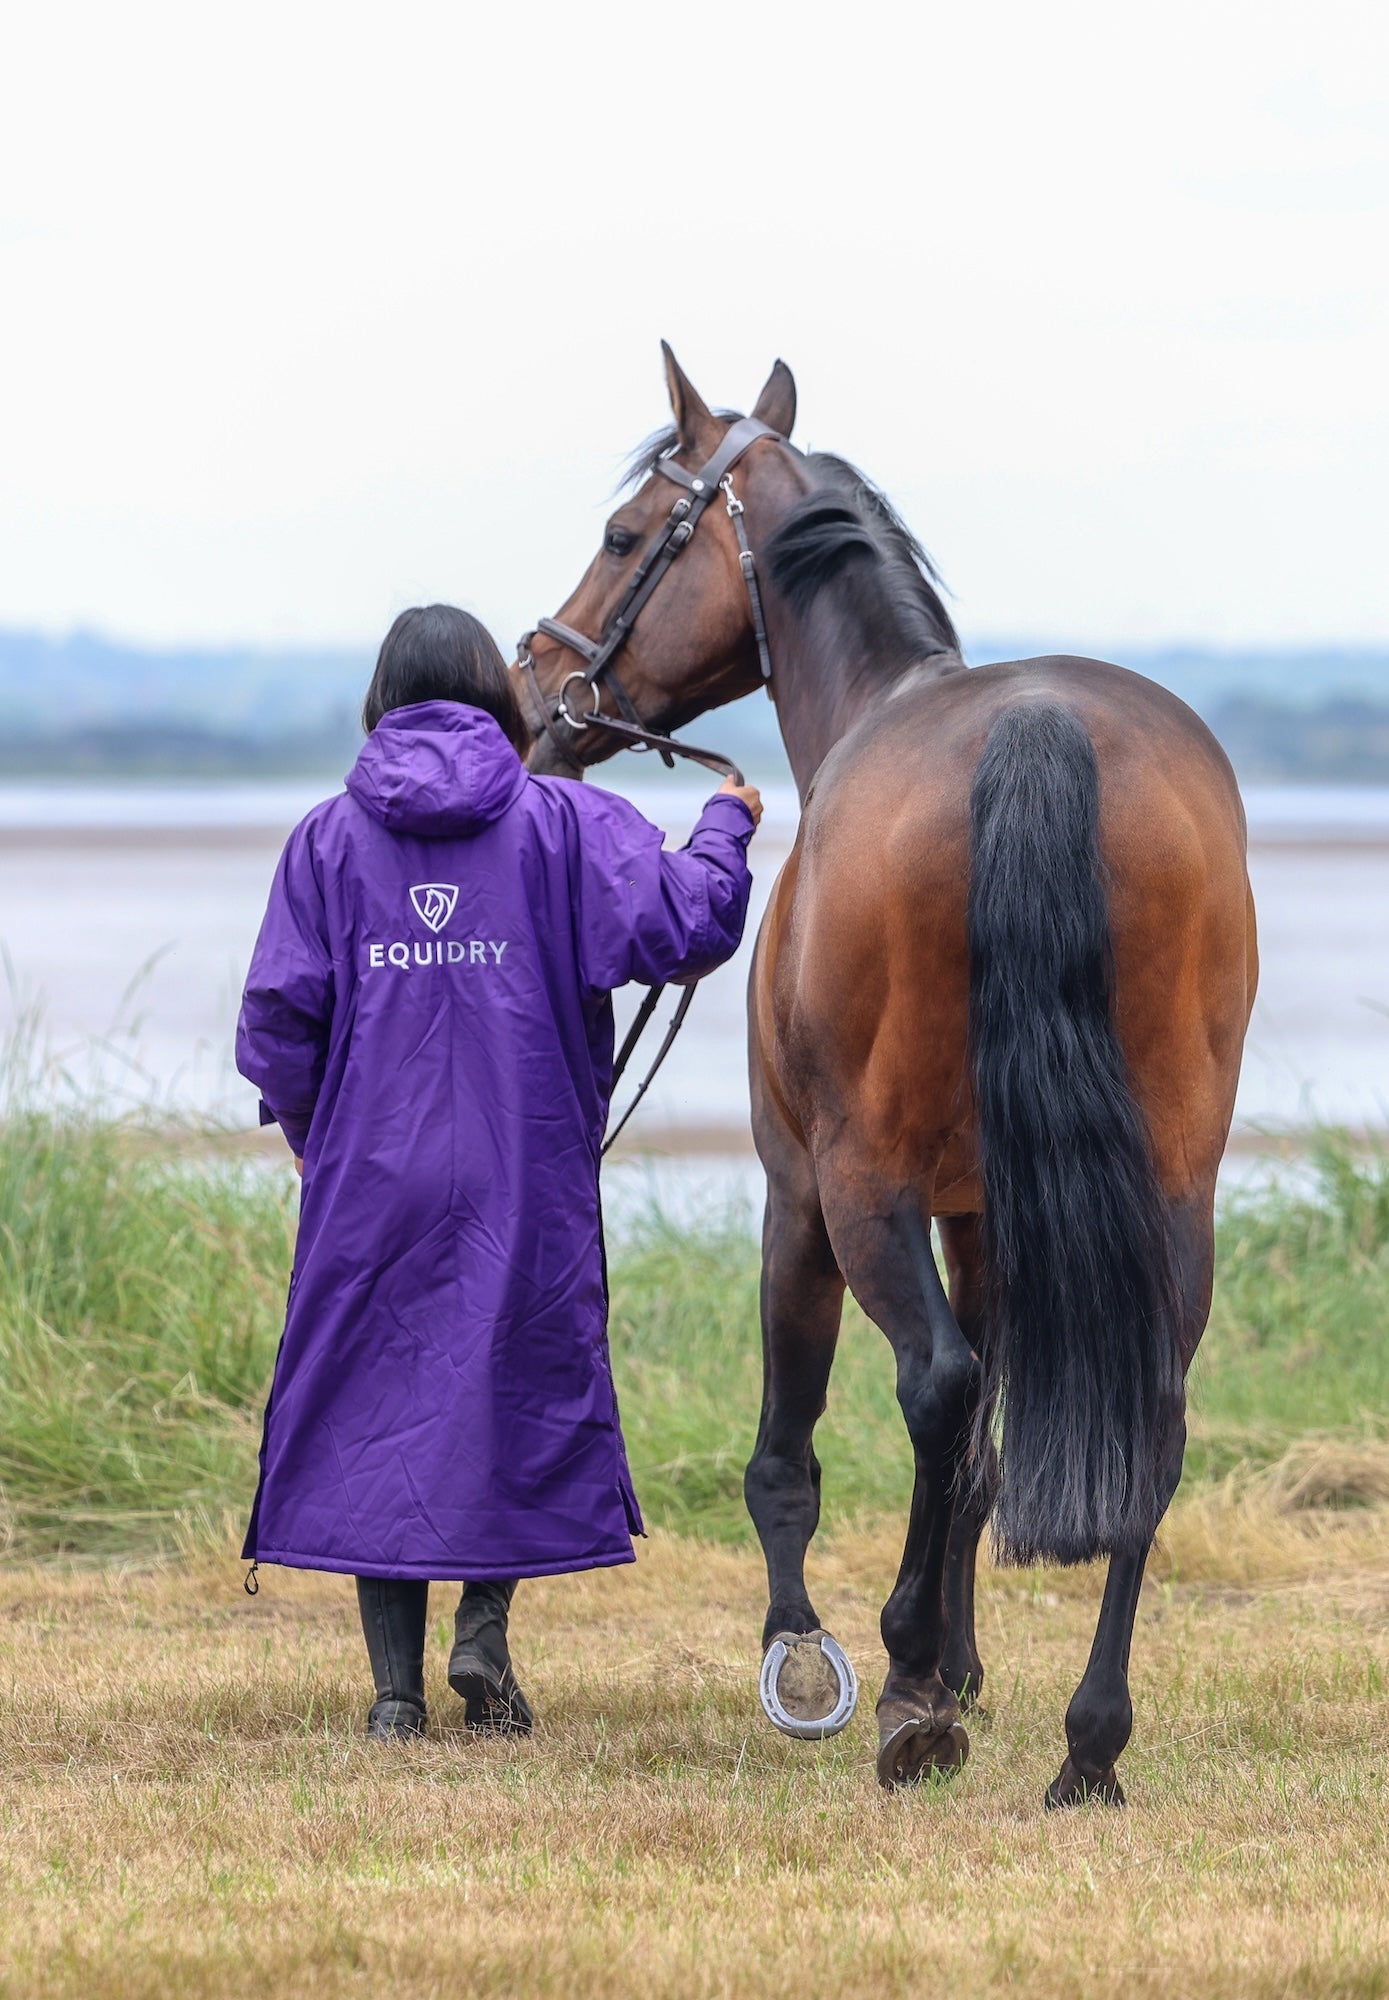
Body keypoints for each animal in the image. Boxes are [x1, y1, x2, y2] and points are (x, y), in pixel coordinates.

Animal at [515, 345, 1258, 1805]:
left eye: (625, 536)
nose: (535, 689)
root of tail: (1040, 726)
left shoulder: (801, 1194)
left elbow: (793, 1448)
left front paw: (821, 1659)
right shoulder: (986, 1211)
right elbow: (974, 1465)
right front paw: (967, 1666)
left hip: (859, 1190)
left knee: (936, 1385)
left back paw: (910, 1689)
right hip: (1167, 1190)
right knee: (1137, 1419)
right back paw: (1090, 1739)